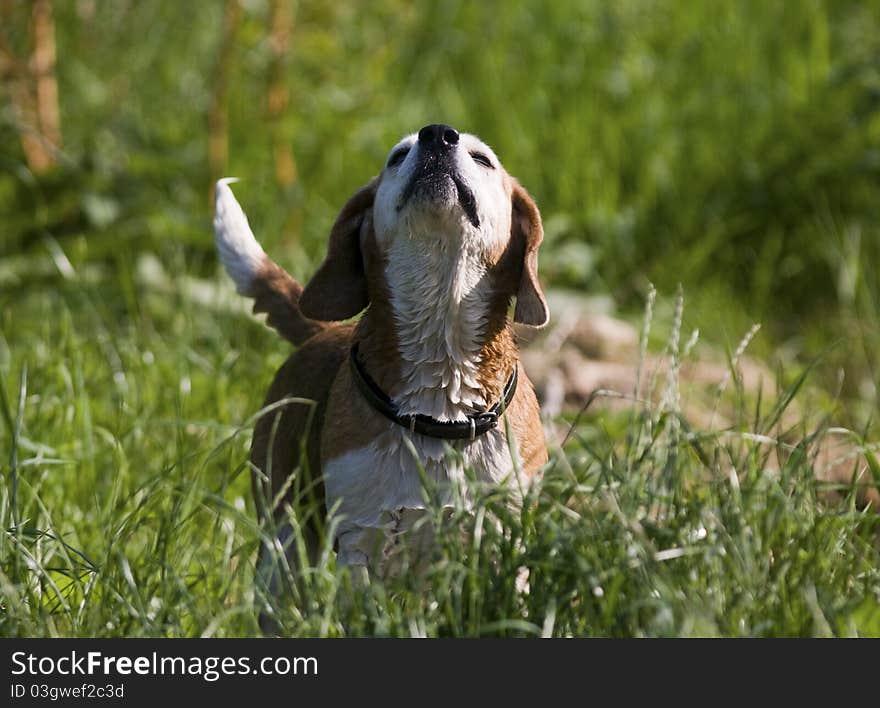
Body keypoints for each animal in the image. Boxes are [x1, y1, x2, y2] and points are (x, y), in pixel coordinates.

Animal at [214, 124, 552, 596]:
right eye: (398, 156)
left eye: (482, 159)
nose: (438, 134)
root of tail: (323, 331)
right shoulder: (361, 536)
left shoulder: (504, 532)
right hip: (284, 542)